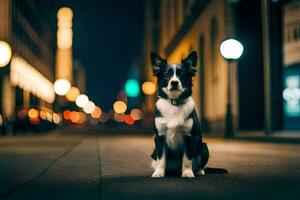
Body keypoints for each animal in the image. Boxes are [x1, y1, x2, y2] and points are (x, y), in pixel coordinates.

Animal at [149, 50, 209, 178]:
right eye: (167, 75)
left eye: (182, 75)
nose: (174, 82)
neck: (174, 103)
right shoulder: (159, 137)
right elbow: (161, 158)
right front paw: (159, 172)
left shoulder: (190, 137)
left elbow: (187, 159)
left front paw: (187, 173)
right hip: (153, 152)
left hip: (204, 146)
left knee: (199, 162)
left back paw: (199, 171)